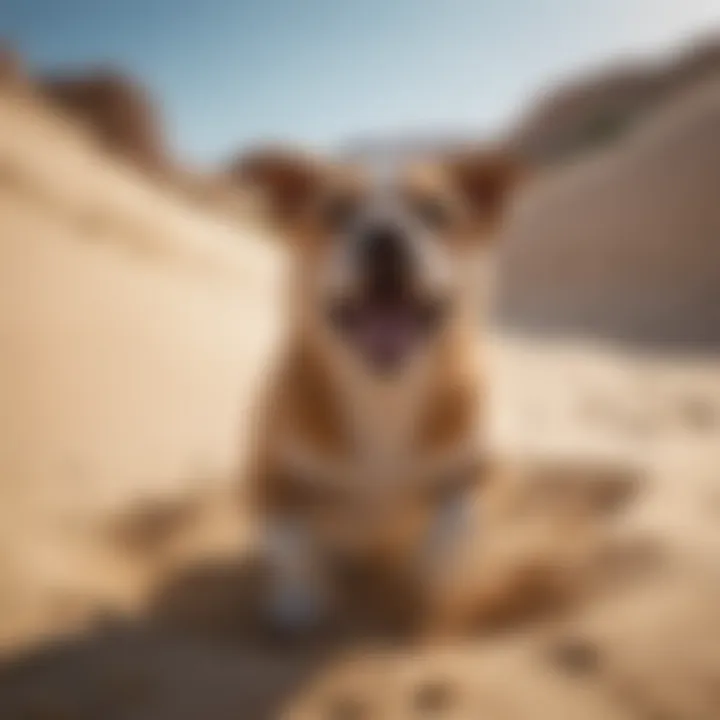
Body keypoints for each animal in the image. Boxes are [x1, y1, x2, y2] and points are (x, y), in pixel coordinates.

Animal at [236, 146, 524, 636]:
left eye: (435, 211)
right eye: (336, 211)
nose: (385, 238)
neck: (384, 393)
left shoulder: (476, 469)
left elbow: (453, 525)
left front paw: (425, 583)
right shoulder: (270, 475)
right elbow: (292, 544)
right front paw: (300, 602)